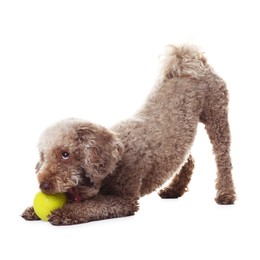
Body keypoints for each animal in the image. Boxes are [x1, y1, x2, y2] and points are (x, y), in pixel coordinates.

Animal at [21, 45, 236, 225]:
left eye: (65, 154)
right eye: (43, 156)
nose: (43, 185)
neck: (114, 163)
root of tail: (195, 60)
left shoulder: (124, 200)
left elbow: (92, 206)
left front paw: (65, 212)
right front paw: (32, 210)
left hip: (217, 115)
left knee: (223, 158)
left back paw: (226, 194)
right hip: (182, 140)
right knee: (187, 160)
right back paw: (174, 189)